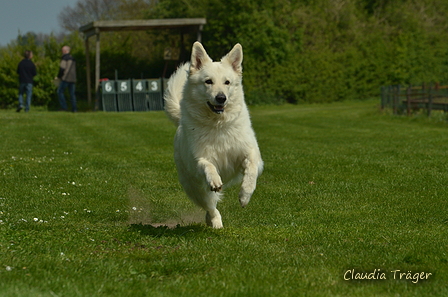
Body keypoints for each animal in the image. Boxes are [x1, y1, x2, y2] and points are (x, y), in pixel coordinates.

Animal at [164, 41, 262, 227]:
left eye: (227, 82)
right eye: (208, 82)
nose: (221, 98)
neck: (218, 125)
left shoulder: (249, 153)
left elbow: (251, 170)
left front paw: (245, 195)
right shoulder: (199, 159)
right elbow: (207, 165)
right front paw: (215, 179)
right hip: (195, 188)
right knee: (210, 206)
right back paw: (215, 222)